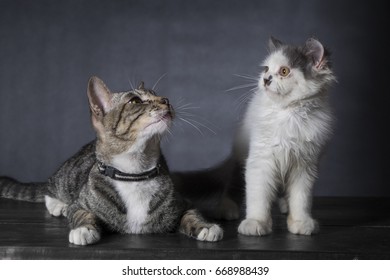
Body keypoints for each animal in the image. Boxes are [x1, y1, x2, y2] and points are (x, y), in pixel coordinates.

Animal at [0, 76, 224, 245]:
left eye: (156, 94)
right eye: (135, 101)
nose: (166, 100)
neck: (134, 173)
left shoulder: (184, 202)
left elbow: (192, 214)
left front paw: (206, 226)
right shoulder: (80, 204)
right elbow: (81, 213)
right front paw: (83, 229)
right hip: (66, 177)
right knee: (51, 187)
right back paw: (58, 205)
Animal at [227, 36, 336, 235]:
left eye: (284, 71)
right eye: (266, 69)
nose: (265, 79)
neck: (289, 113)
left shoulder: (305, 165)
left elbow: (301, 199)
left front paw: (301, 222)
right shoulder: (260, 160)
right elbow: (258, 195)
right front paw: (255, 222)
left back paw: (285, 205)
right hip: (241, 155)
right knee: (234, 183)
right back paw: (227, 207)